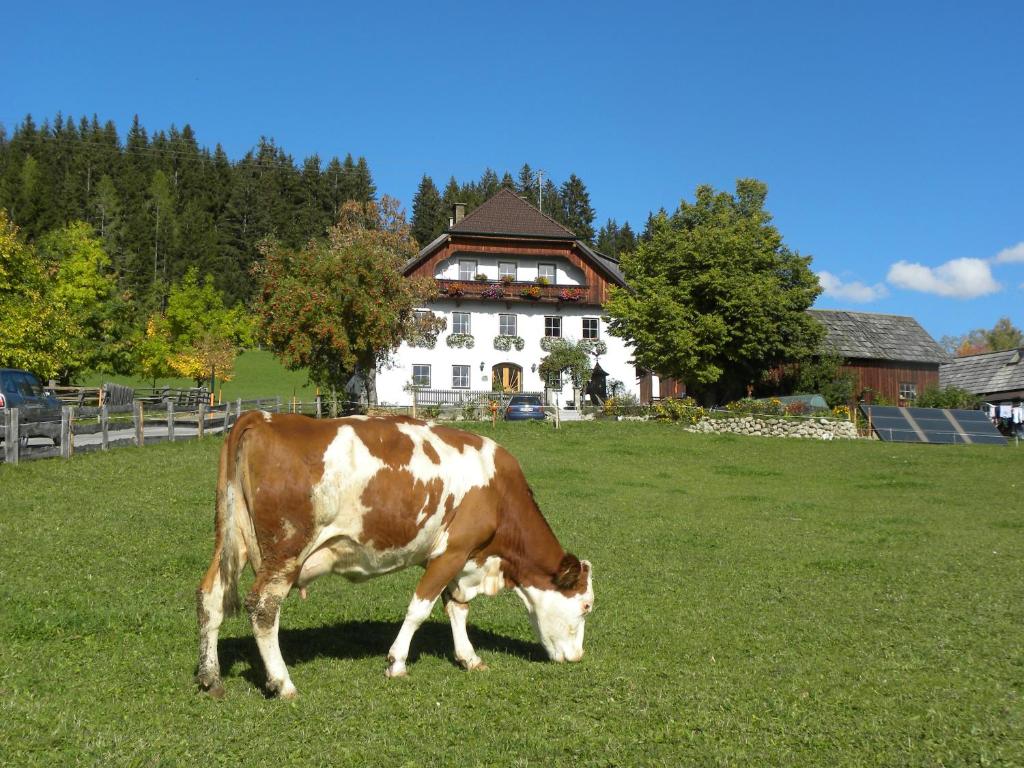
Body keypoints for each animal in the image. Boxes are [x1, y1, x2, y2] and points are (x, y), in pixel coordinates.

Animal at [193, 411, 593, 700]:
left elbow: (457, 608)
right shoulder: (453, 550)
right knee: (263, 609)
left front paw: (469, 657)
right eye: (586, 606)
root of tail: (263, 418)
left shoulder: (459, 558)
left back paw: (211, 677)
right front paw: (397, 662)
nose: (578, 658)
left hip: (233, 541)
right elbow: (419, 609)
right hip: (285, 551)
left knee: (211, 597)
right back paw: (283, 682)